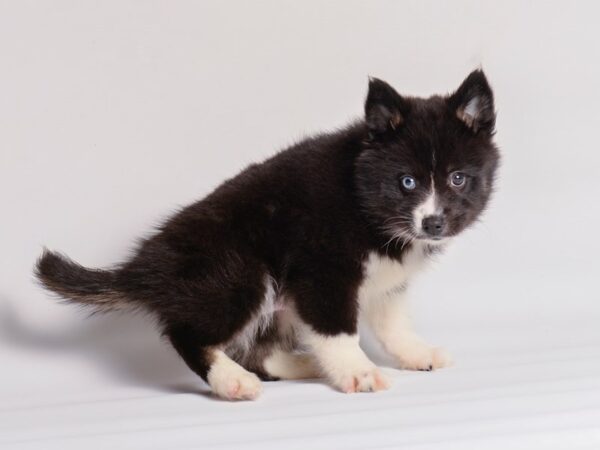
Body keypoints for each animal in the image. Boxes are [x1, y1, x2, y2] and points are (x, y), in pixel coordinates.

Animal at [35, 70, 500, 400]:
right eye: (407, 182)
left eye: (458, 178)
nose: (433, 224)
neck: (366, 202)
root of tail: (147, 266)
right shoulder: (321, 269)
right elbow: (338, 329)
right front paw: (358, 371)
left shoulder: (384, 281)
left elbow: (392, 323)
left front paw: (415, 354)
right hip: (237, 272)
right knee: (189, 334)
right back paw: (231, 380)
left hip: (274, 302)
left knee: (260, 350)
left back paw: (303, 365)